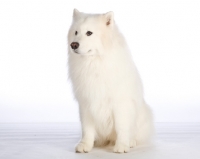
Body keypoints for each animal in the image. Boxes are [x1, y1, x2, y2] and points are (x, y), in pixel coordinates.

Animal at [68, 8, 154, 153]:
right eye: (76, 32)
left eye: (89, 33)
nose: (73, 45)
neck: (94, 63)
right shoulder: (86, 103)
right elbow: (87, 129)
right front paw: (85, 145)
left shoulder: (120, 104)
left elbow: (122, 127)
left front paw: (122, 146)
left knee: (135, 134)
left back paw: (131, 142)